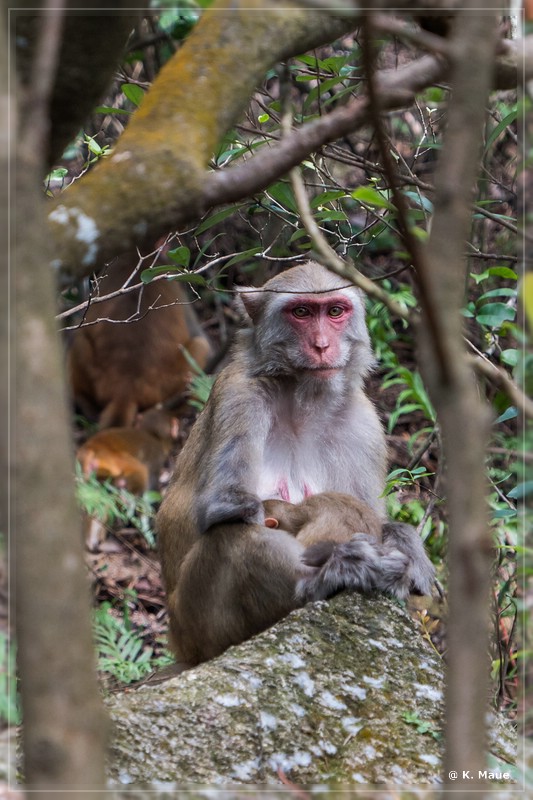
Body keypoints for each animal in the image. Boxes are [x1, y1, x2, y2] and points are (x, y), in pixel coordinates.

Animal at [156, 260, 434, 664]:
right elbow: (229, 506)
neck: (303, 399)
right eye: (301, 312)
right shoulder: (239, 395)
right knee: (235, 537)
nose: (321, 345)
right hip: (197, 627)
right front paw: (348, 563)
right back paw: (327, 578)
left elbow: (370, 514)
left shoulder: (363, 423)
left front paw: (407, 546)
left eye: (335, 312)